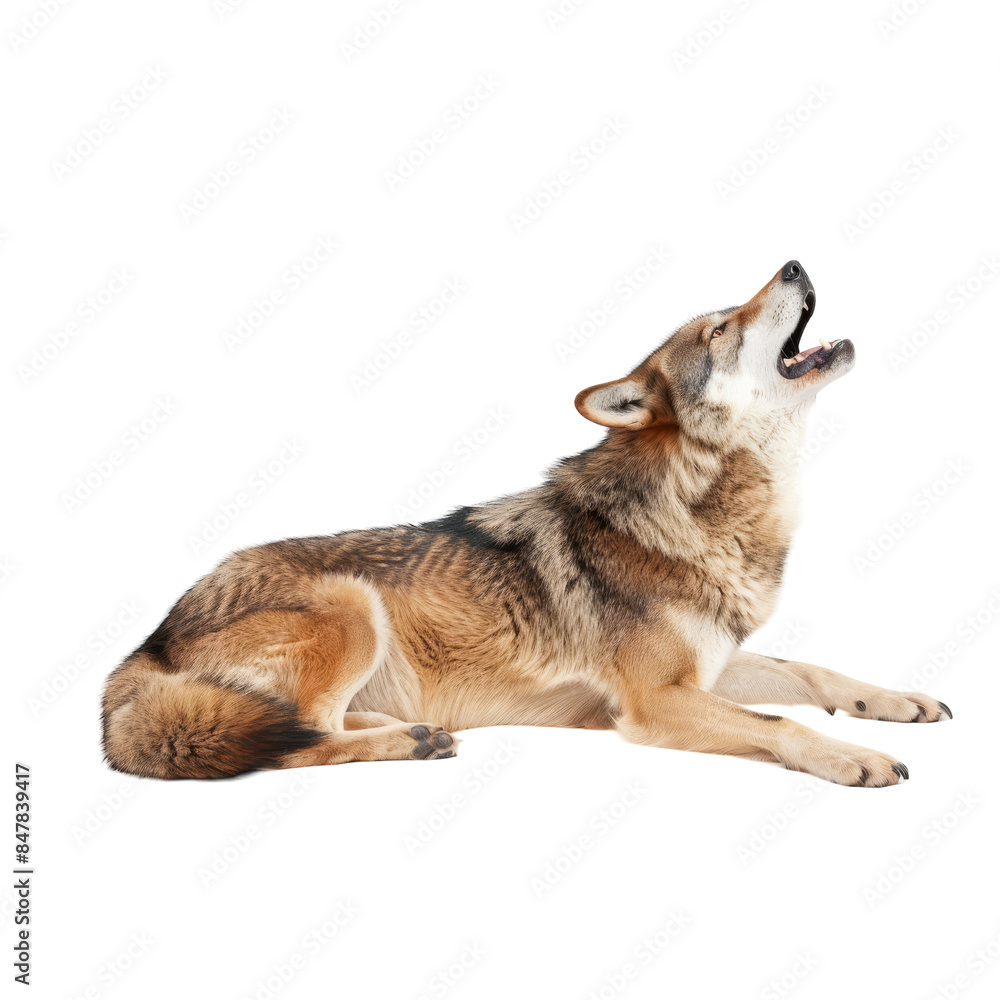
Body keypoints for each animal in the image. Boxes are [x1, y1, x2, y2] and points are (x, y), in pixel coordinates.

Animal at [102, 260, 950, 785]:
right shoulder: (653, 702)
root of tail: (143, 645)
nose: (796, 264)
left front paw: (897, 702)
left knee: (302, 725)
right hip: (352, 603)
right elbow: (782, 720)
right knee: (293, 741)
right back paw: (405, 738)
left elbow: (813, 671)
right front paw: (855, 756)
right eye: (718, 330)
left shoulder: (707, 666)